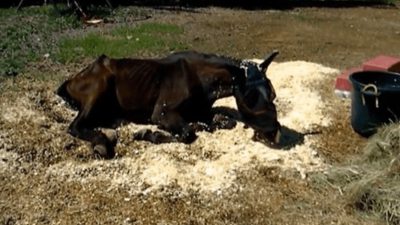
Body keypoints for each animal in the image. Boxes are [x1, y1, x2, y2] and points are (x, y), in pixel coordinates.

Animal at [56, 50, 282, 158]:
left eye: (273, 92)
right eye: (249, 96)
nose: (275, 134)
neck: (203, 82)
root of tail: (72, 79)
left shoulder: (202, 110)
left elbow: (224, 121)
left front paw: (205, 124)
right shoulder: (162, 112)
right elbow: (187, 133)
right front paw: (148, 134)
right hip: (99, 87)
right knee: (75, 126)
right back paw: (101, 143)